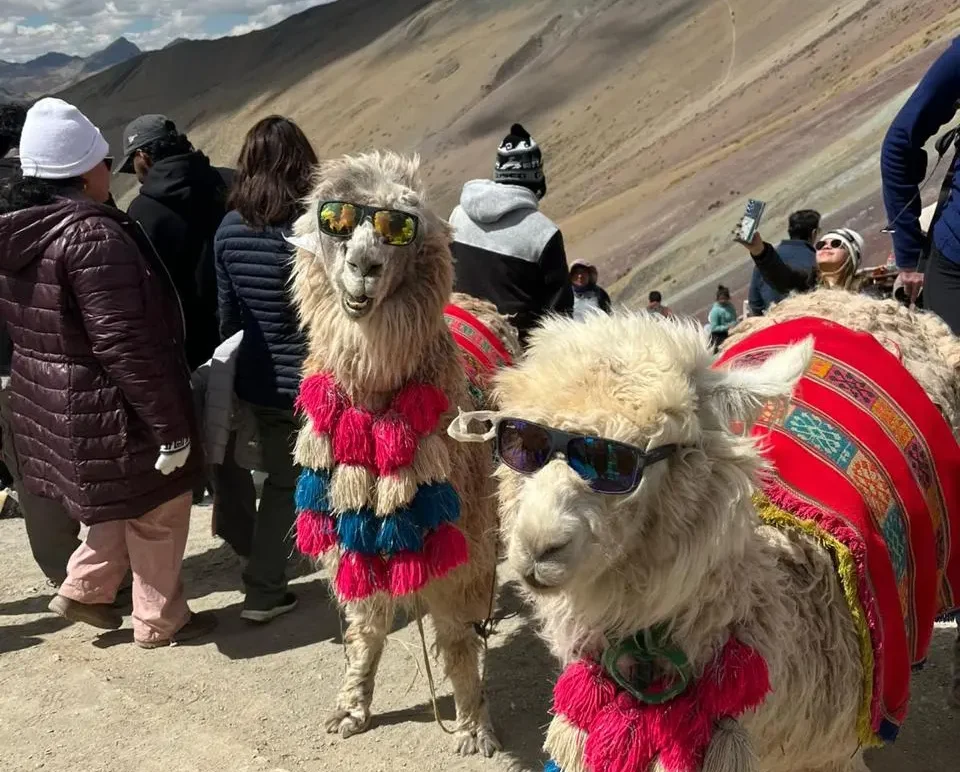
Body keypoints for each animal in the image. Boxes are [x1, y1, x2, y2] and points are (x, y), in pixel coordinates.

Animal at [286, 151, 517, 756]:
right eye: (334, 220)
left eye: (399, 226)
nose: (363, 264)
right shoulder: (352, 531)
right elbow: (366, 626)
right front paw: (351, 708)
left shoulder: (461, 537)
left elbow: (456, 637)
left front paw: (474, 725)